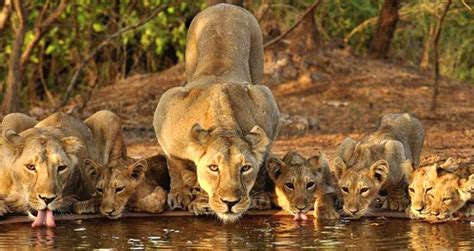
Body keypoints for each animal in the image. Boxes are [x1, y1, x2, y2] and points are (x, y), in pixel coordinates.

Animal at [152, 3, 280, 222]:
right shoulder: (166, 106)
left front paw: (258, 197)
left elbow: (262, 163)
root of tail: (225, 5)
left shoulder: (268, 110)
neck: (222, 124)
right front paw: (180, 195)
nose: (231, 202)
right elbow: (174, 164)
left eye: (245, 168)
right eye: (213, 168)